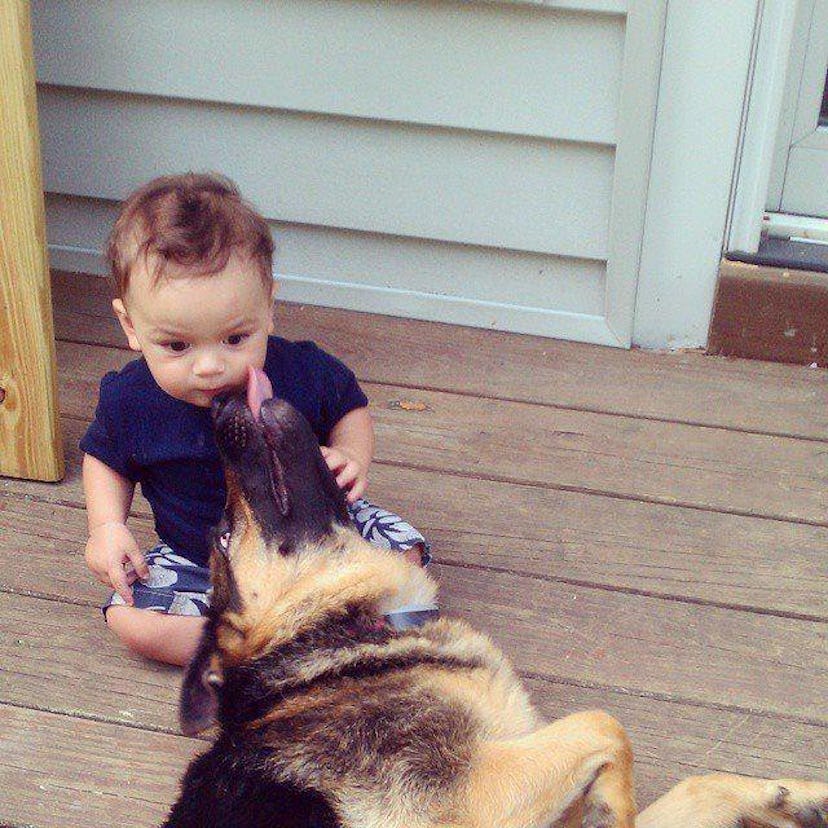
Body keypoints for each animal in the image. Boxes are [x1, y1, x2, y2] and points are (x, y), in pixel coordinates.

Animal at [163, 374, 828, 828]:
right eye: (222, 534)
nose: (218, 402)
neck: (344, 629)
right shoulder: (474, 795)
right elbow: (604, 722)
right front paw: (613, 807)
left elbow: (697, 783)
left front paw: (794, 795)